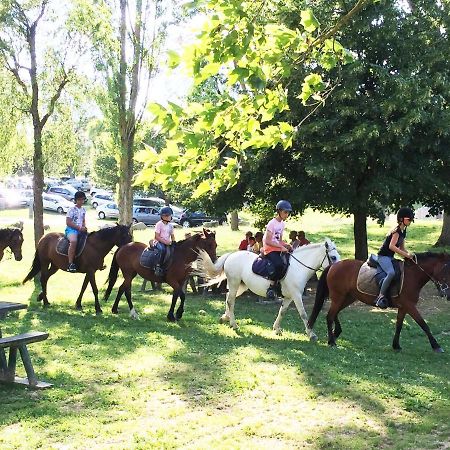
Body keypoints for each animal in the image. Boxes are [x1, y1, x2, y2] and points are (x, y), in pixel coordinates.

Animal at [195, 237, 340, 340]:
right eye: (333, 257)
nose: (337, 272)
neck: (298, 267)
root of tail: (231, 255)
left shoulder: (289, 296)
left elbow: (282, 311)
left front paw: (276, 329)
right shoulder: (296, 295)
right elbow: (303, 314)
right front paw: (311, 334)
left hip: (240, 286)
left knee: (228, 298)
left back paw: (225, 318)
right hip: (234, 282)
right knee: (230, 301)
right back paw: (234, 324)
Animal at [308, 253, 450, 352]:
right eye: (446, 270)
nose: (447, 294)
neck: (412, 276)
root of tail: (333, 265)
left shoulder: (403, 307)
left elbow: (399, 325)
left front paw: (396, 345)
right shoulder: (410, 306)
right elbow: (423, 324)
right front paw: (436, 346)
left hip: (348, 297)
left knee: (334, 313)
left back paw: (335, 333)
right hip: (339, 296)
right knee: (330, 315)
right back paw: (332, 341)